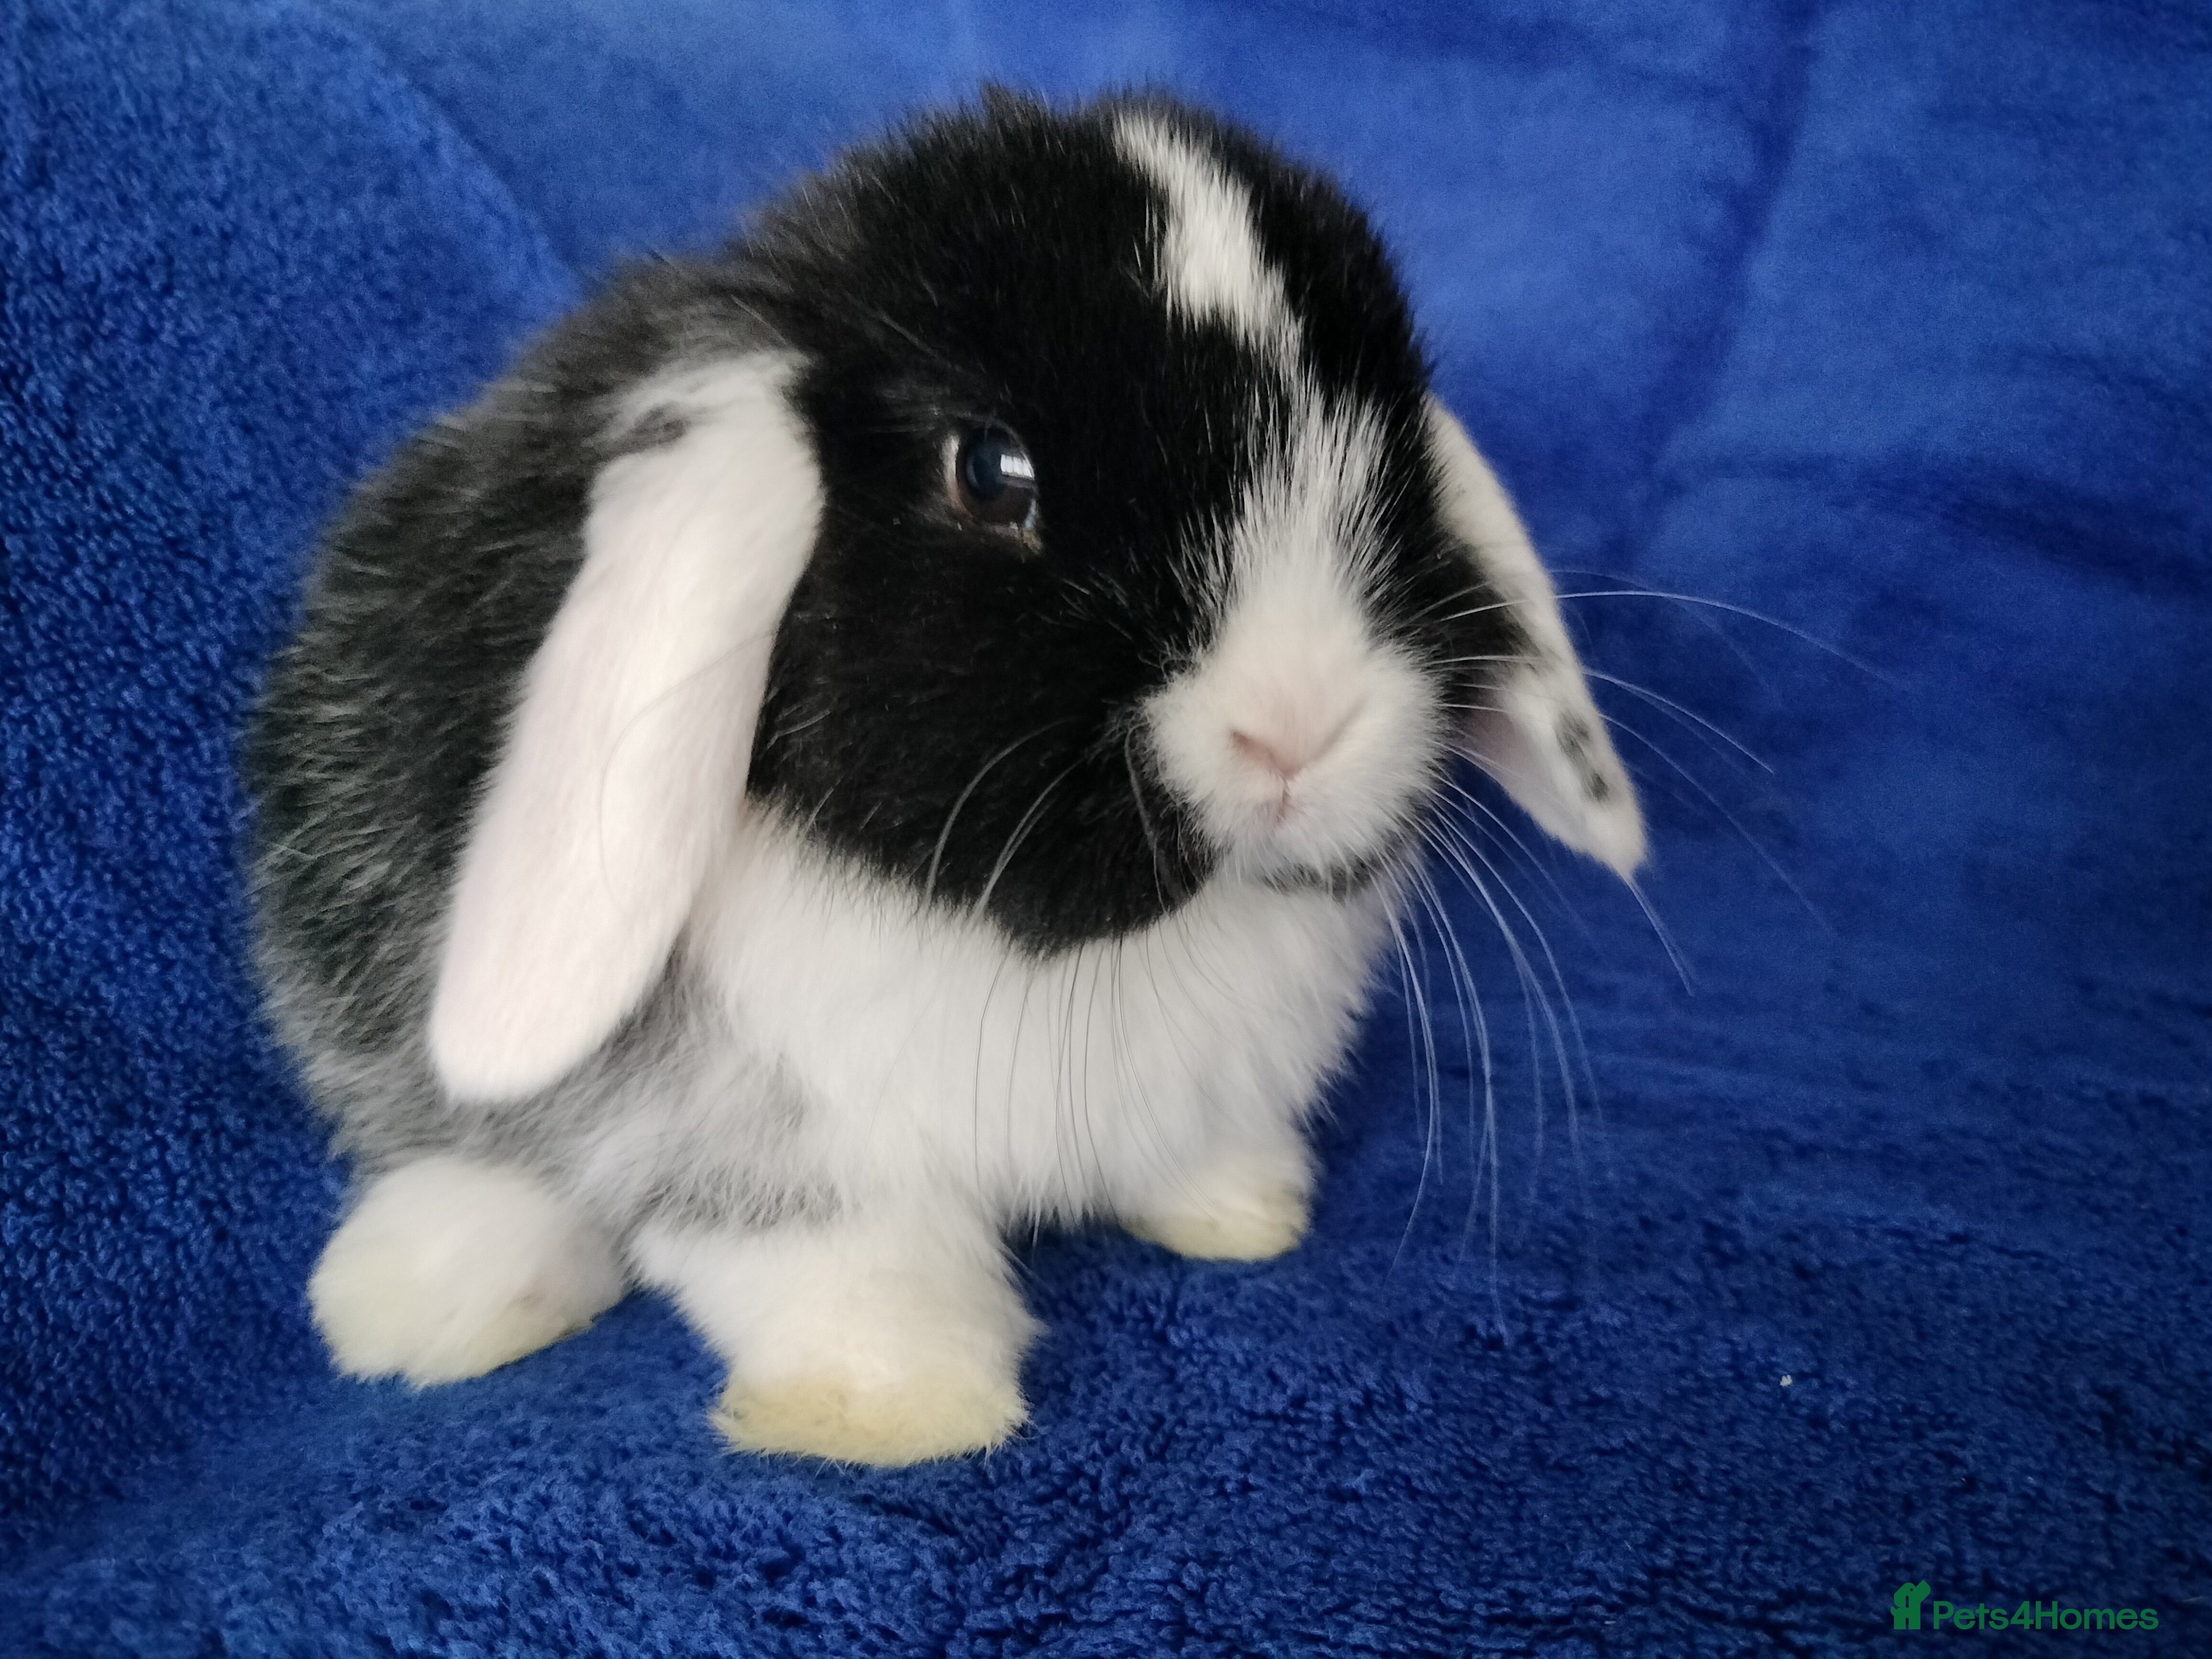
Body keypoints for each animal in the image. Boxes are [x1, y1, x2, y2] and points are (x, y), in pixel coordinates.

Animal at [244, 89, 1646, 1466]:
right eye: (989, 470)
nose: (1297, 727)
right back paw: (429, 1295)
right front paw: (890, 1408)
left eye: (1399, 466)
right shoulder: (775, 1145)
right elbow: (849, 1264)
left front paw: (1242, 1209)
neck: (1045, 947)